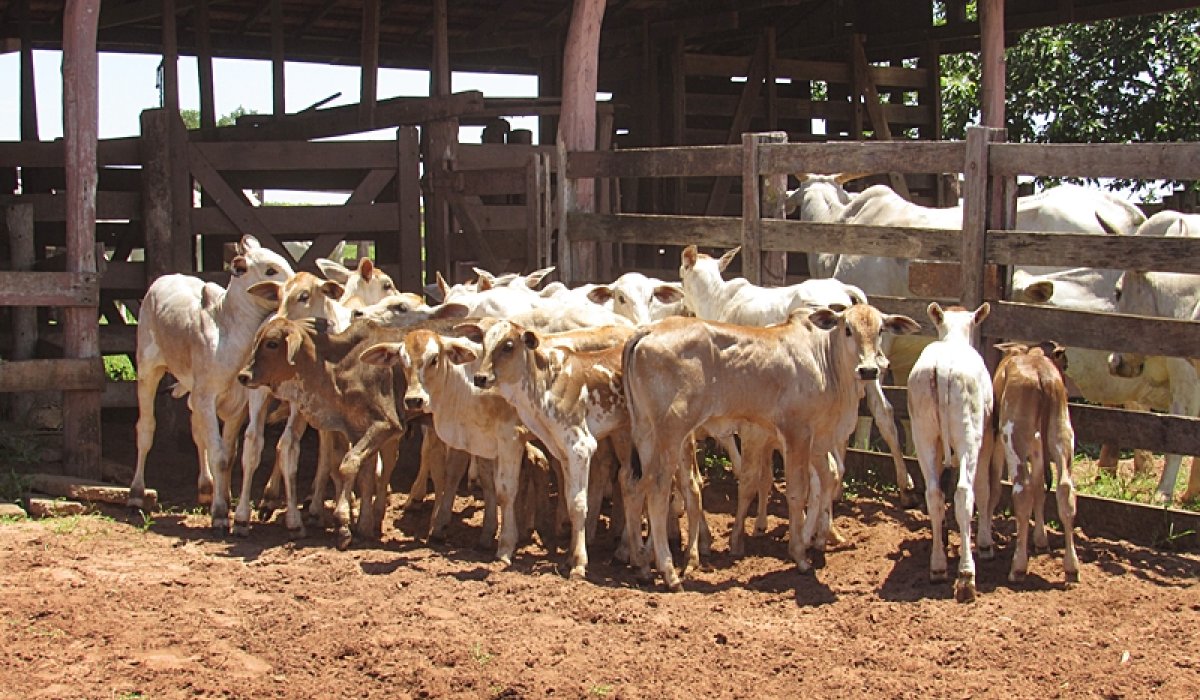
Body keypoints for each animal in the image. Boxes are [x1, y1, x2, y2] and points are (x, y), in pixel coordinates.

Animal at [129, 234, 294, 534]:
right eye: (270, 270)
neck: (230, 336)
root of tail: (163, 280)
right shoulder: (207, 396)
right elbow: (218, 454)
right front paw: (219, 514)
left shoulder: (237, 406)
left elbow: (227, 455)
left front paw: (223, 501)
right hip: (148, 370)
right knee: (146, 428)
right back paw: (136, 495)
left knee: (198, 433)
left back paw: (207, 488)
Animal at [623, 304, 921, 590]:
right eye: (847, 329)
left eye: (881, 330)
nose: (870, 369)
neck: (824, 362)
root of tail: (648, 330)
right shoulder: (796, 434)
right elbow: (797, 491)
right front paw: (799, 554)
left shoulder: (818, 442)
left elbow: (826, 479)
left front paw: (817, 540)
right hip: (672, 434)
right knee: (658, 490)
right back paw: (669, 572)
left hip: (645, 432)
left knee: (636, 488)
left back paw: (642, 563)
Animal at [906, 302, 994, 603]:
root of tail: (942, 369)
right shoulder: (985, 442)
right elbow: (983, 489)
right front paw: (986, 544)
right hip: (969, 436)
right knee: (964, 493)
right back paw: (966, 575)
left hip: (924, 436)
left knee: (934, 493)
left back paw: (938, 565)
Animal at [988, 341, 1080, 585]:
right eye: (1065, 363)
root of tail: (1042, 376)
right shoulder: (1039, 448)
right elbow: (1040, 488)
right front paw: (1041, 539)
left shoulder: (999, 442)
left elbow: (995, 485)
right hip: (1062, 434)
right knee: (1065, 491)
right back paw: (1071, 567)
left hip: (1013, 438)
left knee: (1022, 491)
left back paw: (1018, 566)